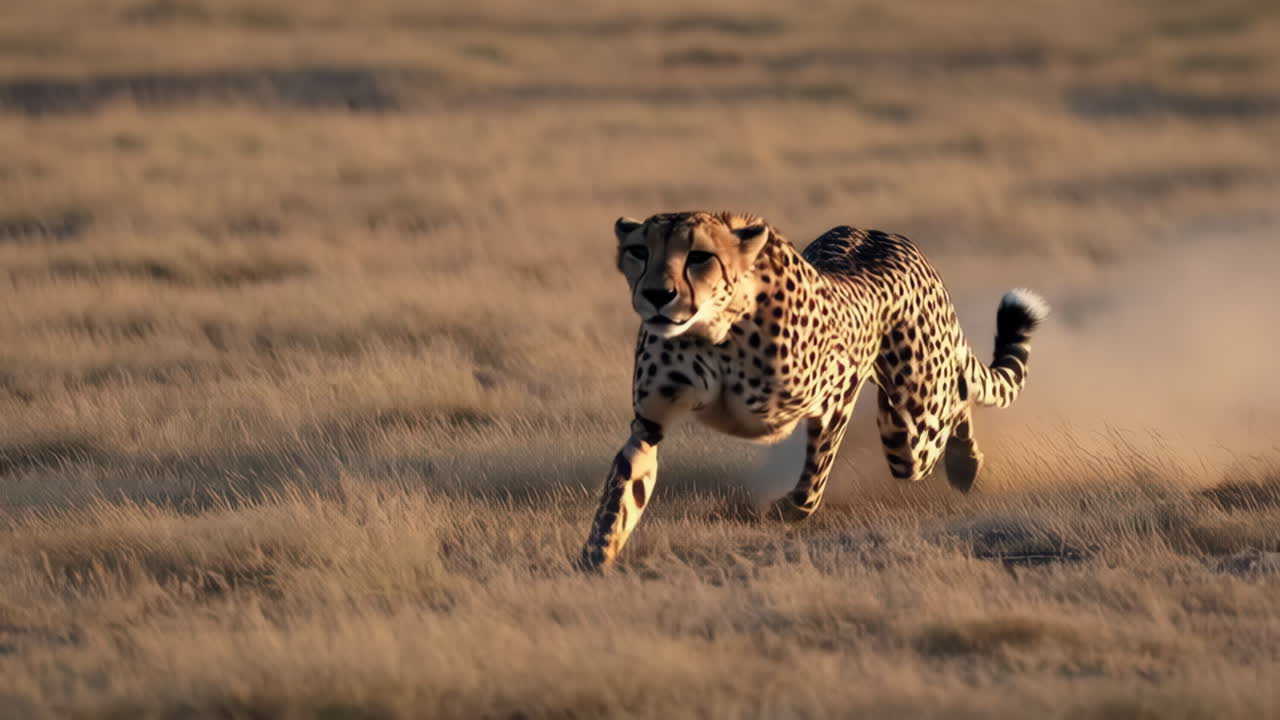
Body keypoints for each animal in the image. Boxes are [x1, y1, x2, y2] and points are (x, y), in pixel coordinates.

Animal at [580, 210, 1049, 570]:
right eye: (639, 251)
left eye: (699, 257)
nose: (657, 294)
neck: (713, 329)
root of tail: (882, 233)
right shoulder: (650, 423)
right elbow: (621, 493)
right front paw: (596, 554)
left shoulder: (838, 389)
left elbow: (814, 476)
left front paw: (788, 510)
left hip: (911, 419)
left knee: (951, 401)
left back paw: (965, 463)